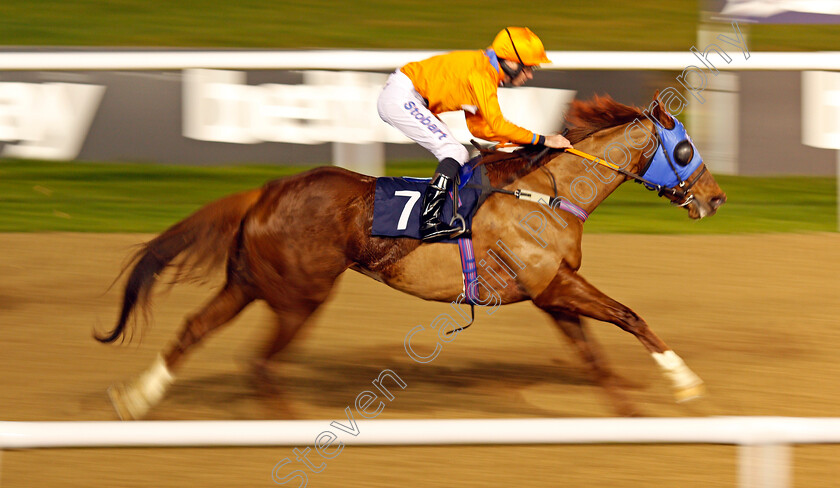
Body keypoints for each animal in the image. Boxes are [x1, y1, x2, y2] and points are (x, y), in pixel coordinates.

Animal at [97, 95, 728, 420]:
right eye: (685, 148)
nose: (716, 198)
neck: (546, 192)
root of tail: (267, 191)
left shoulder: (550, 293)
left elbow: (595, 355)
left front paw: (631, 413)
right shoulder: (555, 287)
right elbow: (629, 316)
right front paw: (687, 384)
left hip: (250, 281)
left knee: (195, 327)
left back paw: (136, 398)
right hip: (300, 297)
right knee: (258, 364)